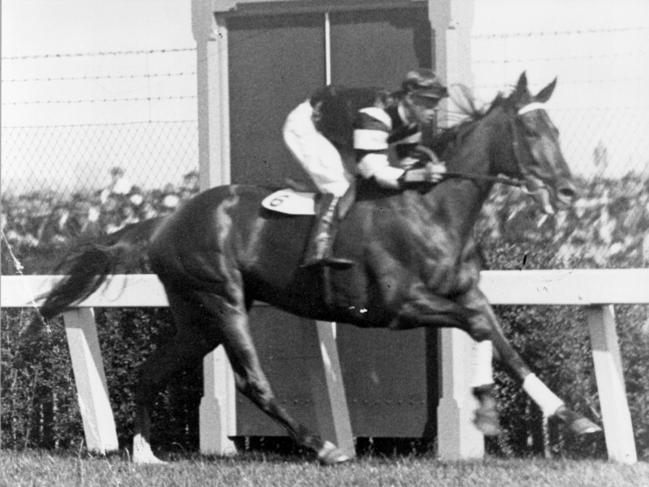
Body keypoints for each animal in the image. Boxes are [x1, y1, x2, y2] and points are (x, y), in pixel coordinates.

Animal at [38, 73, 600, 466]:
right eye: (530, 128)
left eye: (555, 127)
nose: (569, 189)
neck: (431, 206)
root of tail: (165, 221)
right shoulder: (399, 306)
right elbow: (481, 326)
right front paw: (490, 410)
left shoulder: (464, 293)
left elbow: (501, 339)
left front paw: (572, 417)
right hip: (222, 299)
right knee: (252, 381)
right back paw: (326, 446)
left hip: (197, 316)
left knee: (152, 370)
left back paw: (145, 453)